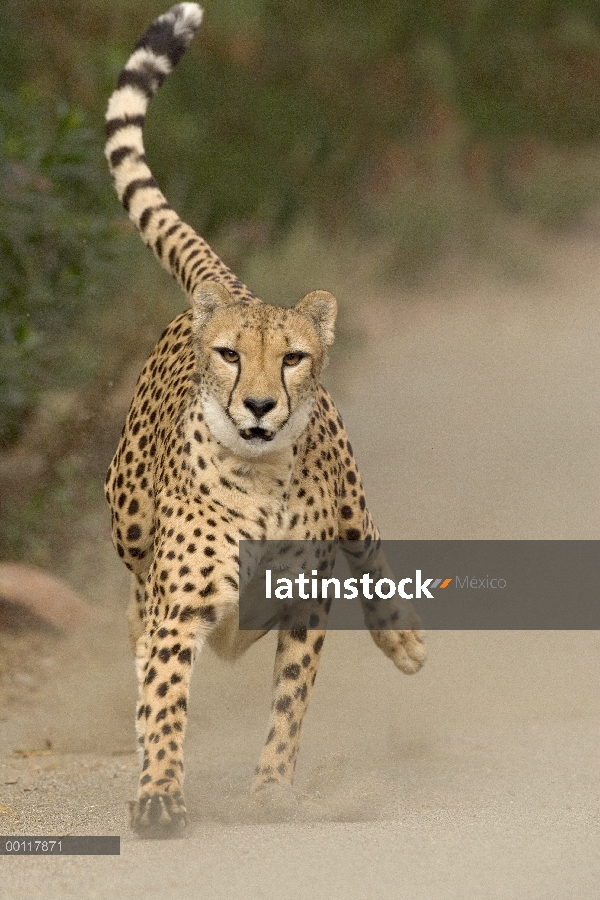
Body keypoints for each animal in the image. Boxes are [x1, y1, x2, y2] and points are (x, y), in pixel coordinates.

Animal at [104, 5, 426, 836]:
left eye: (291, 358)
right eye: (228, 356)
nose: (257, 404)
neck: (258, 478)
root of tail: (235, 287)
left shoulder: (305, 607)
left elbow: (289, 707)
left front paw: (274, 789)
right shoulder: (180, 614)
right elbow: (163, 703)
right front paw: (159, 793)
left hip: (353, 508)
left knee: (373, 556)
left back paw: (404, 638)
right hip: (128, 524)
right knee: (136, 617)